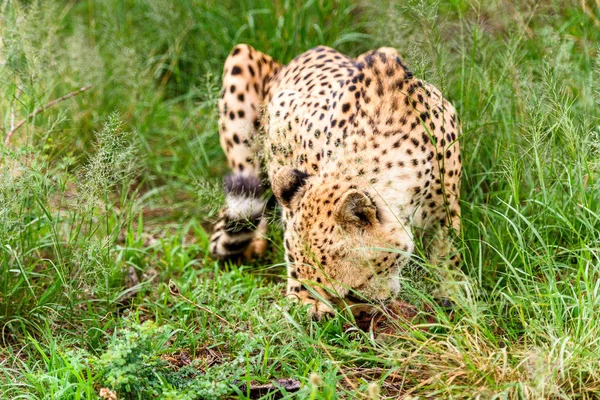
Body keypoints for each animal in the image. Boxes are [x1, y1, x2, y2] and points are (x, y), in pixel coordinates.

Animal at [211, 43, 464, 318]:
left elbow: (449, 251)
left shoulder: (447, 208)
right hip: (240, 62)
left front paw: (450, 293)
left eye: (352, 292)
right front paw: (302, 297)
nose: (364, 313)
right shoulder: (283, 112)